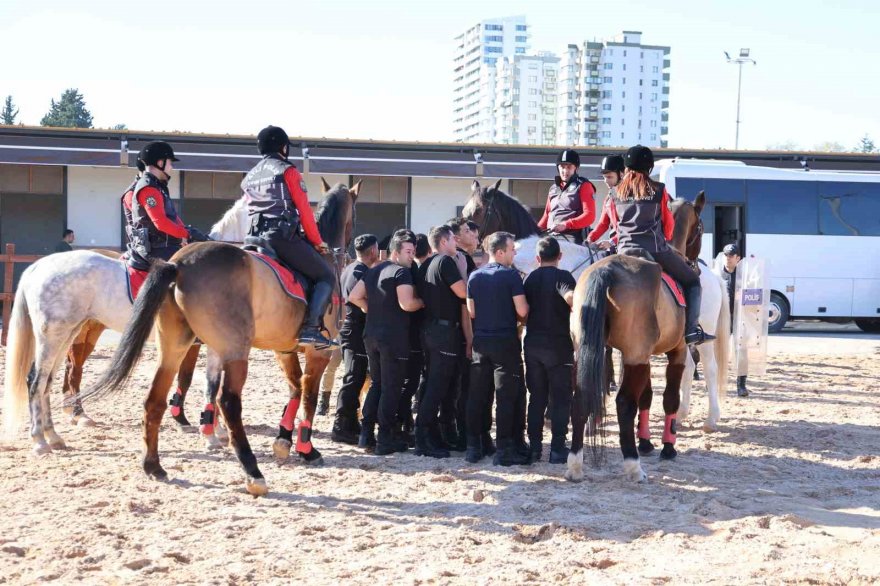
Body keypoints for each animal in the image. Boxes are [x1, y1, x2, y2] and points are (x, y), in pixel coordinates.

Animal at [3, 196, 248, 452]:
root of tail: (37, 266)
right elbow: (198, 382)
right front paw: (206, 430)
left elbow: (208, 384)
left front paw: (212, 430)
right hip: (55, 336)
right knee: (38, 380)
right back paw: (42, 438)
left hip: (66, 334)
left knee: (49, 380)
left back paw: (54, 435)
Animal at [81, 181, 358, 492]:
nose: (350, 250)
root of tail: (180, 264)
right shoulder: (317, 352)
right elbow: (308, 395)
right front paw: (306, 449)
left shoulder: (282, 350)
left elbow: (294, 388)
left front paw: (283, 439)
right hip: (235, 350)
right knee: (229, 402)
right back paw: (252, 471)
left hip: (173, 347)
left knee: (154, 399)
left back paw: (153, 466)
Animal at [568, 194, 704, 482]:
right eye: (699, 229)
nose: (696, 266)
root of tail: (606, 271)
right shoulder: (676, 352)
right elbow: (669, 398)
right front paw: (667, 446)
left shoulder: (643, 356)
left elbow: (647, 396)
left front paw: (646, 441)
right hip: (635, 356)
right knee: (624, 404)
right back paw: (632, 464)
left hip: (590, 351)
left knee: (581, 397)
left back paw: (575, 464)